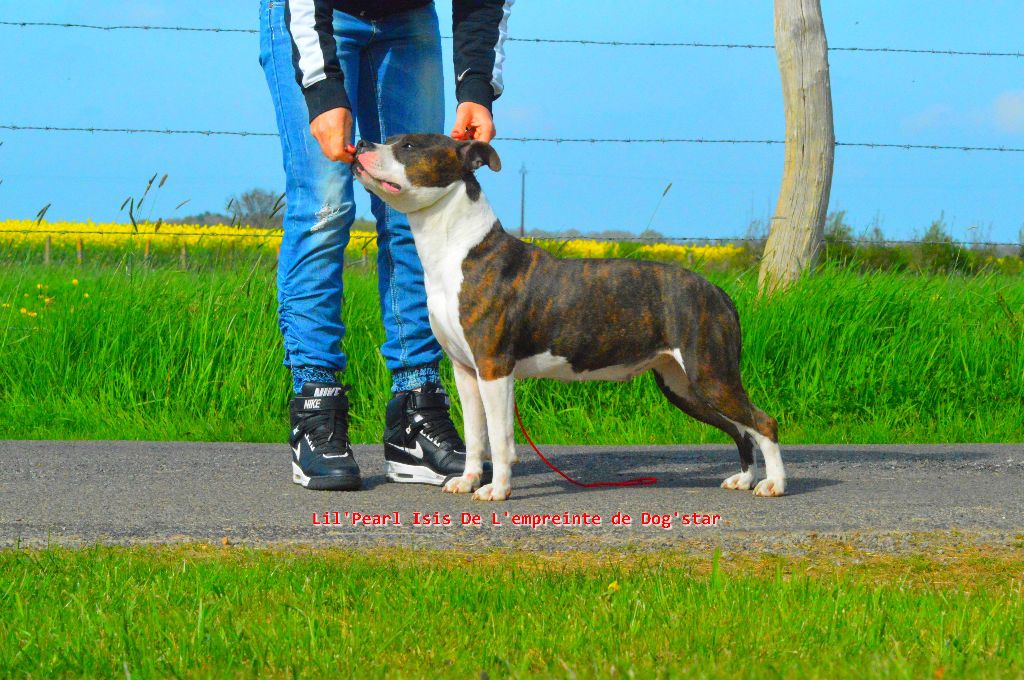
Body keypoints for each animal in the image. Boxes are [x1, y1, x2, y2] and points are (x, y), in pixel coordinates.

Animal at [353, 134, 785, 501]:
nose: (361, 144)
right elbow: (476, 435)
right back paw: (745, 478)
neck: (459, 249)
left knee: (762, 422)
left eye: (409, 145)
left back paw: (774, 484)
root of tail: (718, 292)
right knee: (740, 427)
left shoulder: (494, 368)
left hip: (709, 375)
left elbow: (500, 437)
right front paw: (469, 480)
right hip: (683, 385)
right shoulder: (466, 370)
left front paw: (497, 490)